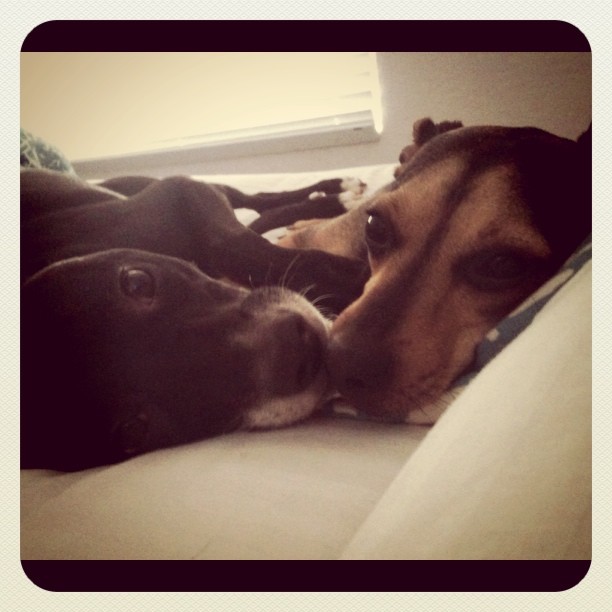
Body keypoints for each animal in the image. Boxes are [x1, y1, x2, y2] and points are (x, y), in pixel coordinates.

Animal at [21, 170, 368, 470]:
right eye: (133, 430)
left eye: (137, 282)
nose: (302, 351)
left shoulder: (180, 199)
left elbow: (242, 248)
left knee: (254, 200)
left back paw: (334, 193)